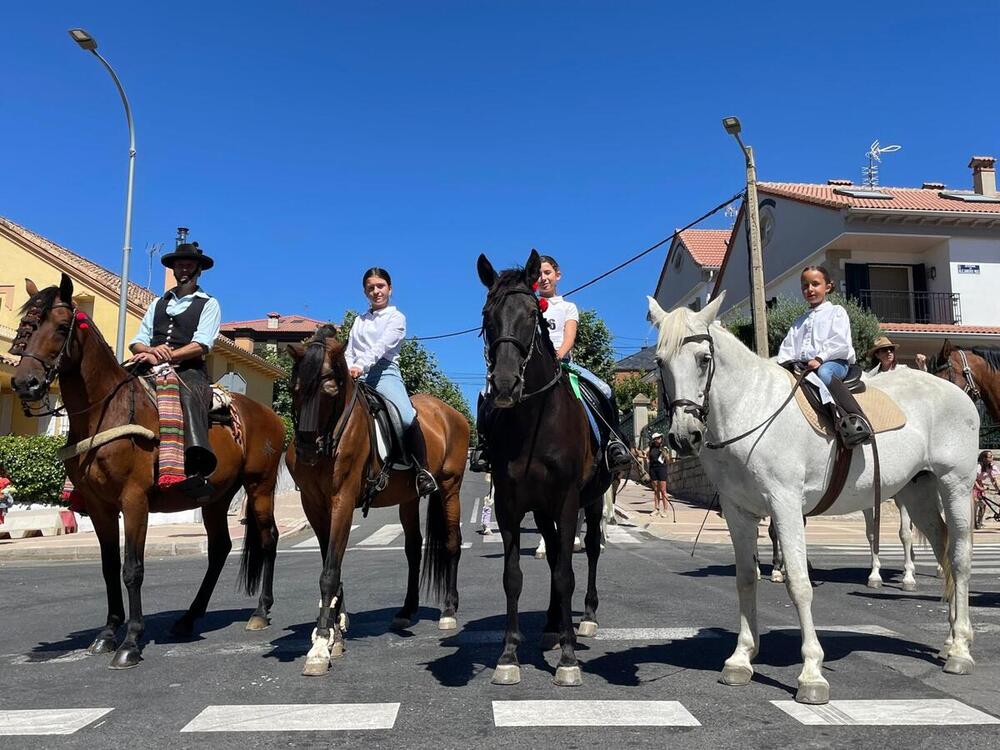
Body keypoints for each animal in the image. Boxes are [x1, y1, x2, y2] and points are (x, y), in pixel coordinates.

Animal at [9, 274, 286, 668]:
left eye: (62, 327)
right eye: (25, 327)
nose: (25, 383)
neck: (107, 411)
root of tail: (269, 415)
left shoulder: (134, 500)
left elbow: (132, 568)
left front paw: (130, 643)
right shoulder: (100, 507)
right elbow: (109, 567)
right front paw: (107, 634)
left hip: (259, 486)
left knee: (268, 539)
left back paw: (260, 611)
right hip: (216, 497)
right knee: (220, 547)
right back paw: (188, 619)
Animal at [284, 326, 466, 680]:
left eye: (329, 388)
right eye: (294, 388)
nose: (307, 449)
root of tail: (450, 413)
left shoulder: (342, 501)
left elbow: (330, 572)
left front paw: (320, 645)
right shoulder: (315, 506)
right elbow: (332, 564)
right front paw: (335, 635)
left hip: (451, 488)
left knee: (452, 543)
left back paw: (449, 611)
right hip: (409, 499)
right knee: (413, 549)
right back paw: (407, 611)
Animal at [474, 248, 608, 688]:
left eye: (534, 315)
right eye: (487, 314)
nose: (503, 385)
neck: (534, 421)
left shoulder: (567, 501)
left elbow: (566, 572)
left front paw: (568, 659)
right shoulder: (510, 505)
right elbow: (513, 576)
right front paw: (508, 655)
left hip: (592, 501)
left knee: (590, 550)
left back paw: (585, 619)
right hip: (543, 509)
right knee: (551, 557)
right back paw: (551, 626)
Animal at [648, 294, 976, 704]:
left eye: (704, 359)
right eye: (660, 362)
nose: (683, 437)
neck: (750, 409)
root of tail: (957, 393)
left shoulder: (785, 506)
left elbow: (799, 584)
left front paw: (811, 674)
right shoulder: (738, 512)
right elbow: (745, 579)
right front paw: (741, 658)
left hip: (956, 484)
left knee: (959, 560)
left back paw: (961, 650)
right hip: (918, 492)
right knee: (943, 551)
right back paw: (950, 640)